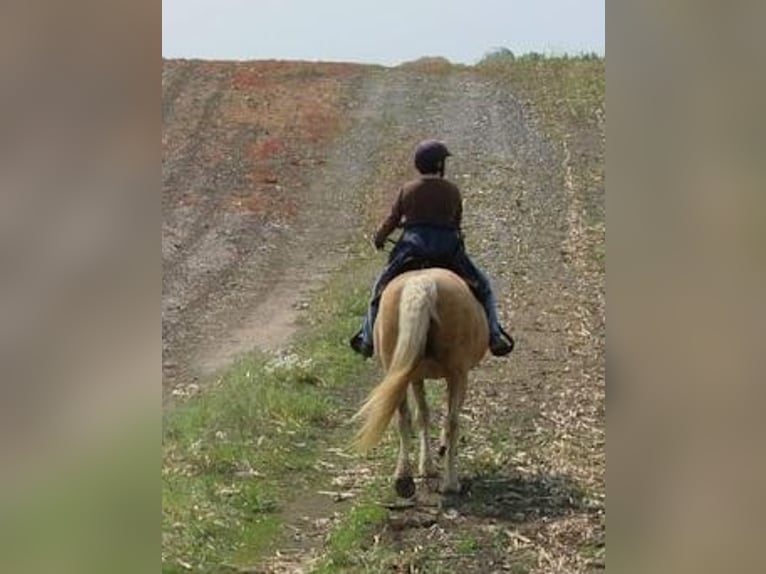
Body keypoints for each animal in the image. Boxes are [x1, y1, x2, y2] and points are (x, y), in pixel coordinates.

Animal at [352, 268, 488, 498]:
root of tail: (422, 283)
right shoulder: (452, 376)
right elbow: (433, 417)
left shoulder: (415, 376)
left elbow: (422, 415)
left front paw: (426, 466)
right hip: (458, 375)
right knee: (451, 423)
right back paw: (451, 483)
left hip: (399, 371)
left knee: (403, 418)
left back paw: (403, 479)